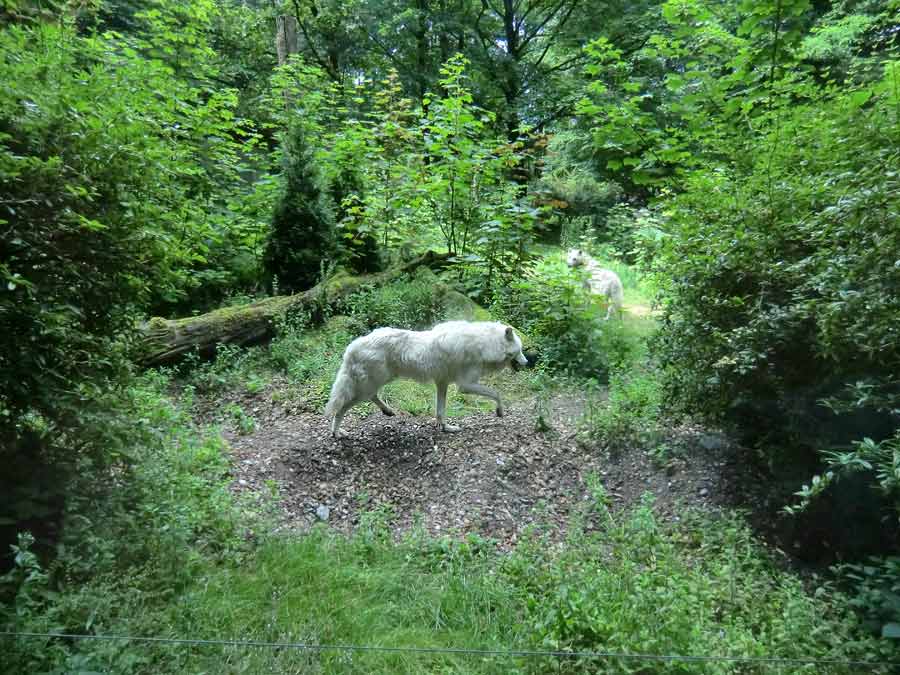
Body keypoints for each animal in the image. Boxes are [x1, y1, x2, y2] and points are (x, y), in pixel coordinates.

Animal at [326, 320, 532, 438]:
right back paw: (336, 432)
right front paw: (499, 411)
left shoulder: (443, 383)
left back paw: (388, 411)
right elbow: (496, 393)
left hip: (377, 382)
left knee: (372, 396)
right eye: (520, 350)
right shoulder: (465, 385)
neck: (486, 343)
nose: (527, 362)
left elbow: (440, 411)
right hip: (368, 387)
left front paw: (446, 428)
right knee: (340, 409)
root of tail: (352, 347)